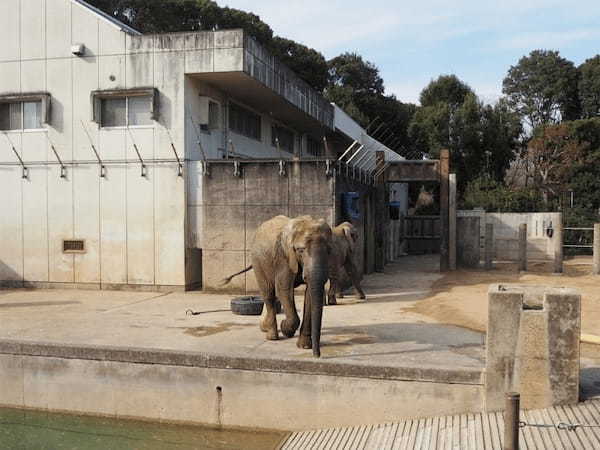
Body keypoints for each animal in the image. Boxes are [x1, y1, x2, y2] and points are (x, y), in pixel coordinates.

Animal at [221, 215, 332, 358]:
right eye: (300, 251)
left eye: (329, 251)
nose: (317, 355)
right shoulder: (283, 258)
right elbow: (283, 289)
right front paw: (286, 329)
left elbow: (308, 295)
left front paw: (304, 346)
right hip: (257, 261)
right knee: (268, 293)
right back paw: (272, 336)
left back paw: (264, 327)